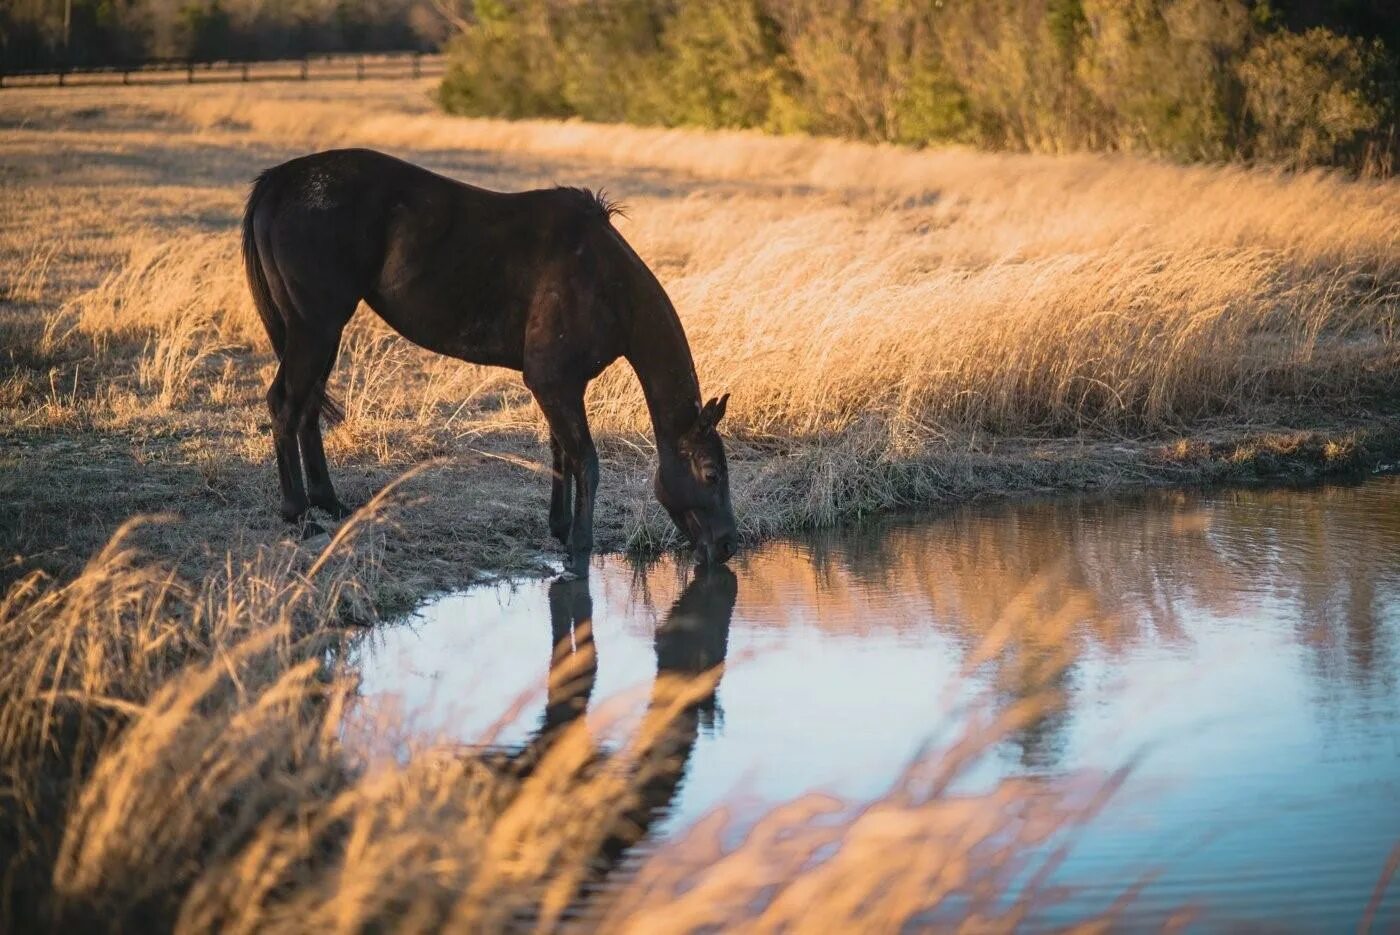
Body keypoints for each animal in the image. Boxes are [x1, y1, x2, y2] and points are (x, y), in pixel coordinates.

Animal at [242, 147, 739, 576]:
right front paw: (580, 546)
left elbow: (561, 452)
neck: (605, 282)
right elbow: (586, 460)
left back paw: (330, 503)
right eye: (711, 473)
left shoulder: (562, 385)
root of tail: (278, 181)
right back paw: (299, 514)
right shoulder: (552, 381)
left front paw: (561, 529)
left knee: (306, 408)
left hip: (322, 333)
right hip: (316, 327)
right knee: (285, 405)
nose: (729, 546)